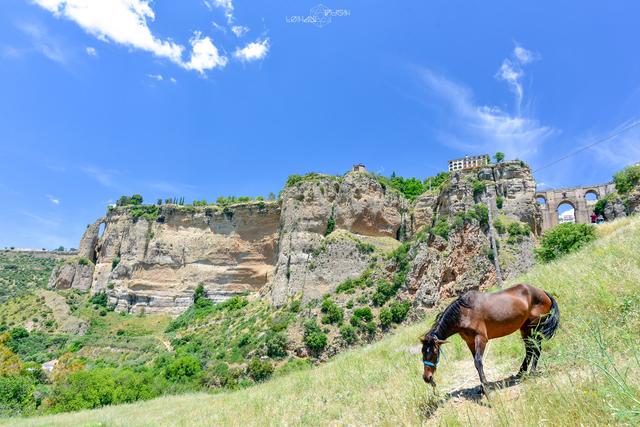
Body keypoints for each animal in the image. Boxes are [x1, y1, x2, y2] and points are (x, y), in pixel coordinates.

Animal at [422, 284, 556, 392]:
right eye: (423, 352)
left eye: (434, 352)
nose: (427, 377)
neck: (464, 313)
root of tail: (543, 292)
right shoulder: (470, 342)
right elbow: (476, 362)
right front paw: (482, 388)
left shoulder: (481, 339)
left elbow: (478, 361)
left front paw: (485, 387)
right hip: (525, 328)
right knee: (529, 350)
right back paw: (520, 374)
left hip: (535, 328)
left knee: (536, 348)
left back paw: (532, 373)